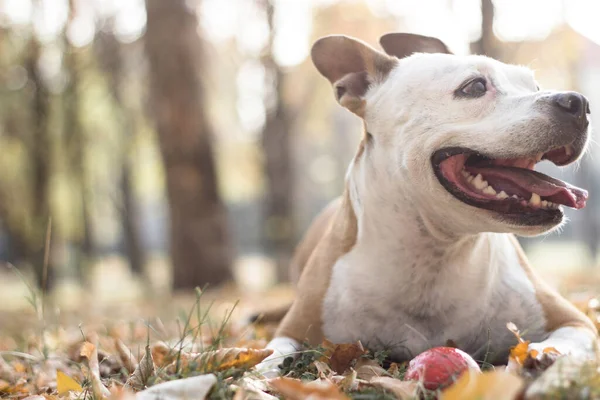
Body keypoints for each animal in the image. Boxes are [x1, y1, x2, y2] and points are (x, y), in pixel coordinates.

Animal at [255, 32, 596, 376]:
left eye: (534, 86)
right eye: (474, 86)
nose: (578, 103)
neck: (433, 253)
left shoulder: (574, 321)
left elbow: (569, 337)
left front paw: (544, 353)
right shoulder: (294, 329)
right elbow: (266, 360)